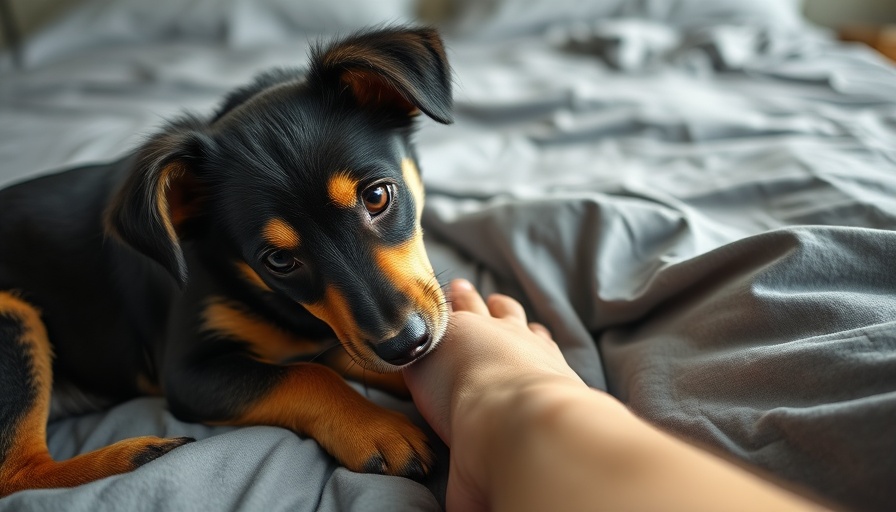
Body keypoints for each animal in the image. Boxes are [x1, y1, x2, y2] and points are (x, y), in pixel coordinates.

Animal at [0, 26, 448, 494]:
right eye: (278, 261)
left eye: (377, 196)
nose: (406, 346)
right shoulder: (189, 375)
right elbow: (306, 376)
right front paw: (378, 428)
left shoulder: (336, 340)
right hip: (13, 314)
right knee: (18, 474)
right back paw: (138, 456)